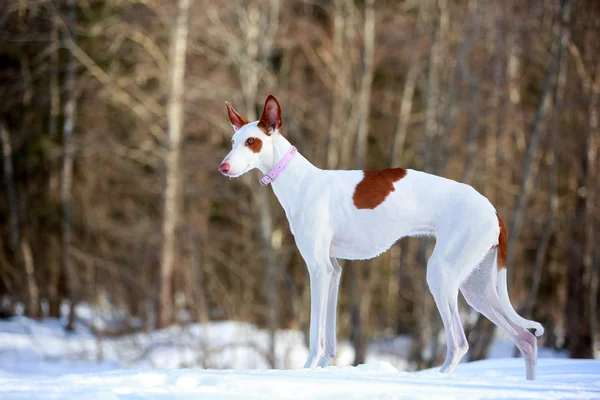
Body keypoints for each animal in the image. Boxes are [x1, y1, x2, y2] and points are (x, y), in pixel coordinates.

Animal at [219, 95, 544, 380]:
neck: (300, 180)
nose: (223, 167)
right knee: (526, 340)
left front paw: (307, 370)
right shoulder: (334, 270)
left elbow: (315, 335)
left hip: (441, 274)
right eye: (233, 142)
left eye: (252, 142)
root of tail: (493, 211)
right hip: (476, 288)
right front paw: (322, 372)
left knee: (460, 344)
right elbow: (331, 339)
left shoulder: (318, 270)